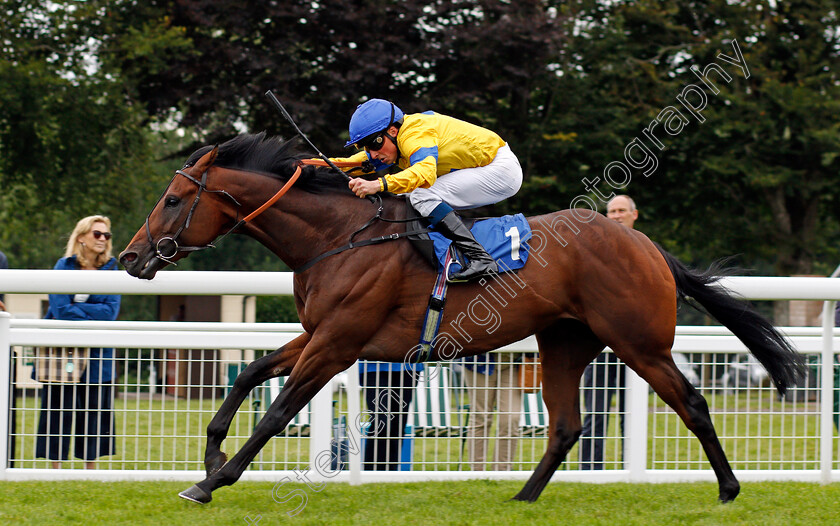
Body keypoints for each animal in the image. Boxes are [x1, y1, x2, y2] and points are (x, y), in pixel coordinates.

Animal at [120, 133, 808, 508]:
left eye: (173, 201)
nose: (129, 257)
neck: (338, 237)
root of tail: (643, 243)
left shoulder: (338, 343)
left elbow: (279, 409)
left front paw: (214, 480)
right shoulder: (320, 335)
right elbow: (250, 373)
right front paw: (211, 455)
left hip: (639, 342)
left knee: (691, 403)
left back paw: (728, 490)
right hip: (565, 342)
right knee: (566, 424)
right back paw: (522, 497)